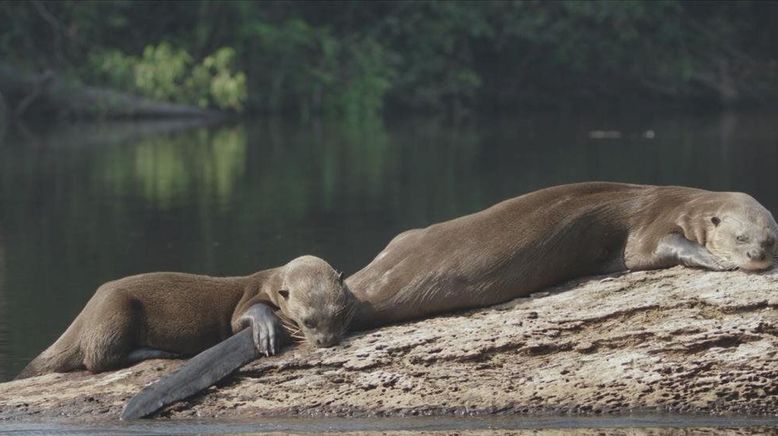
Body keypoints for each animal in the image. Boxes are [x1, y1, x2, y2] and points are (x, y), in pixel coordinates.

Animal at [15, 255, 354, 378]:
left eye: (339, 316)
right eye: (308, 321)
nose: (326, 340)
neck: (272, 283)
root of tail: (84, 316)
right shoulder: (252, 295)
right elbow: (239, 318)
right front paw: (267, 331)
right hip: (115, 309)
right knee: (98, 358)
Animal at [348, 181, 776, 328]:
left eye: (770, 238)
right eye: (740, 237)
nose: (757, 254)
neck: (690, 207)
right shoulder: (652, 225)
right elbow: (652, 248)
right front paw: (714, 259)